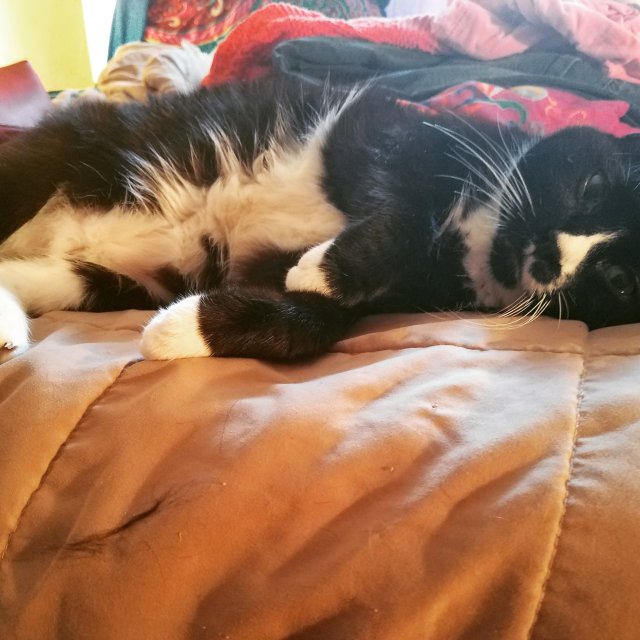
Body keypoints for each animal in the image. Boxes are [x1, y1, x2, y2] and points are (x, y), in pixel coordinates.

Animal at [0, 77, 639, 364]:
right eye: (590, 186)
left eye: (619, 280)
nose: (550, 253)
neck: (473, 239)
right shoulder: (378, 133)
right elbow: (406, 213)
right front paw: (327, 271)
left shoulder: (400, 297)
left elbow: (313, 321)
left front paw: (181, 329)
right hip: (57, 156)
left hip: (114, 277)